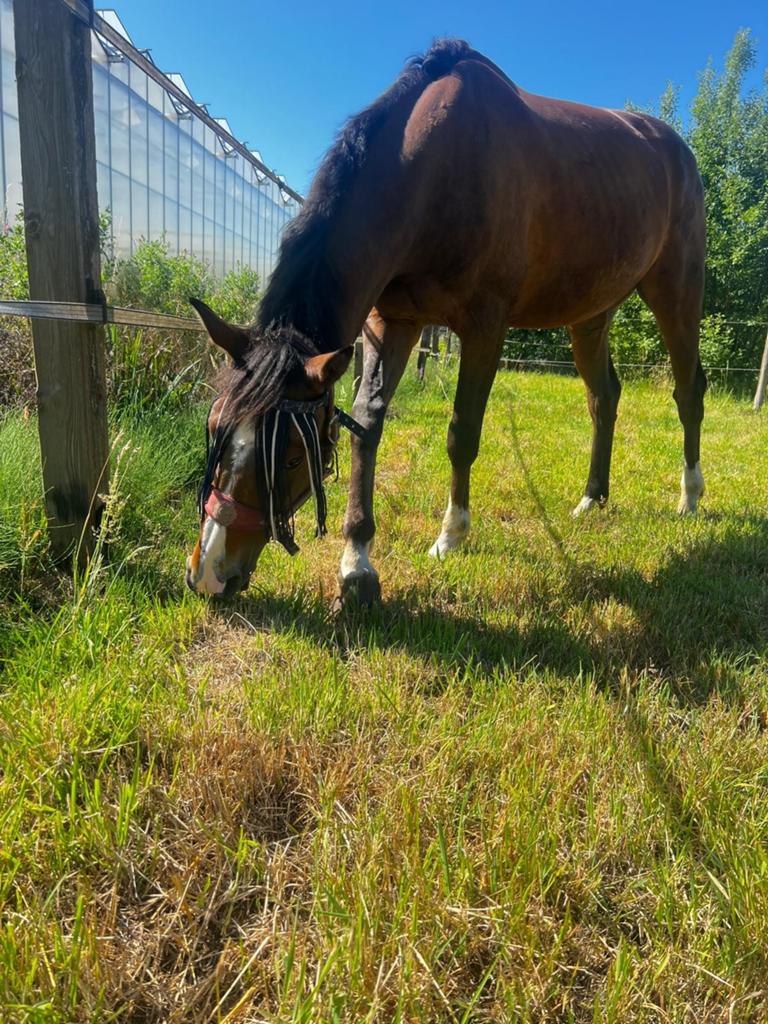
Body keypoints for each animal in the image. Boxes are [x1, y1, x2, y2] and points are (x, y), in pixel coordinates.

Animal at [186, 38, 706, 604]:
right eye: (215, 428)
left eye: (291, 458)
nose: (209, 574)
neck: (437, 169)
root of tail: (678, 152)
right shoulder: (390, 323)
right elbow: (366, 424)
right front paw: (357, 563)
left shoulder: (485, 327)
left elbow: (462, 433)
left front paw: (451, 536)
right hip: (591, 314)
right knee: (604, 397)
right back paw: (593, 499)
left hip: (676, 293)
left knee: (688, 391)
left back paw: (690, 497)